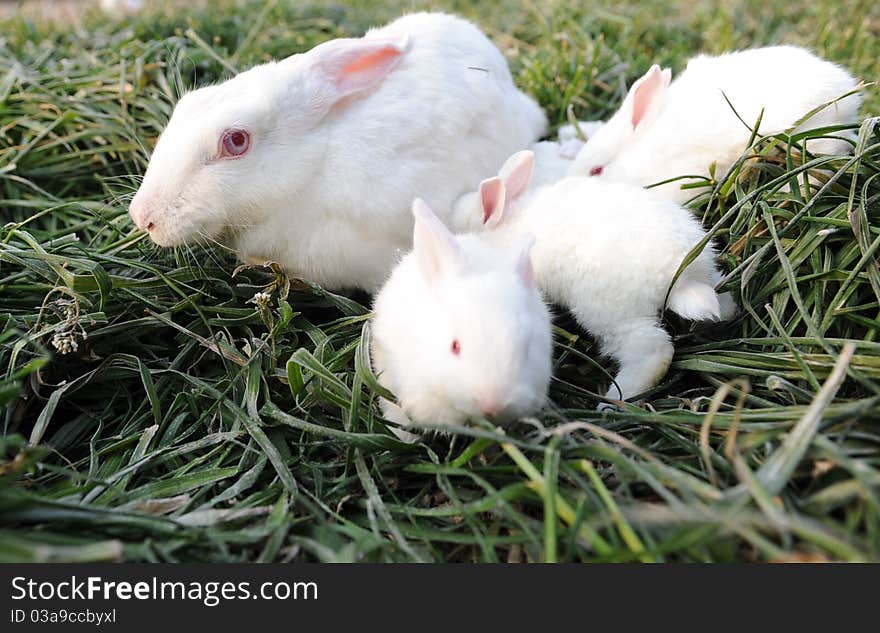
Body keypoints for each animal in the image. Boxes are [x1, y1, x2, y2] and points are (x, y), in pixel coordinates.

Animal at [464, 149, 724, 400]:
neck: (507, 221)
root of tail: (684, 278)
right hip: (708, 276)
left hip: (611, 315)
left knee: (654, 351)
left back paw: (614, 400)